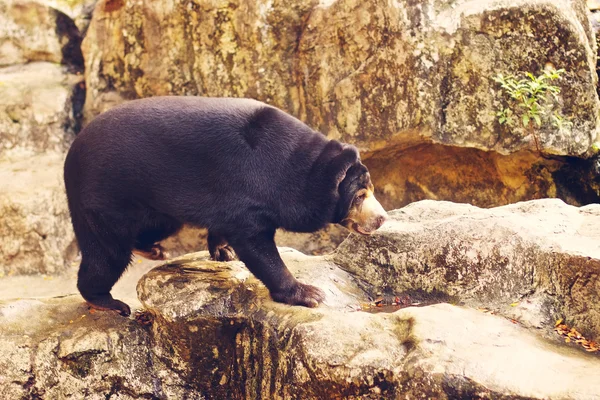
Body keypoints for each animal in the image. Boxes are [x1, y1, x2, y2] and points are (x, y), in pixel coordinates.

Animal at [63, 97, 386, 316]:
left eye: (370, 190)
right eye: (359, 197)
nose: (382, 219)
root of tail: (72, 150)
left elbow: (223, 225)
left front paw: (222, 252)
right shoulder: (249, 189)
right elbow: (256, 245)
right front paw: (308, 294)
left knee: (156, 226)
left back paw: (152, 250)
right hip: (104, 195)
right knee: (107, 252)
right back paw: (108, 302)